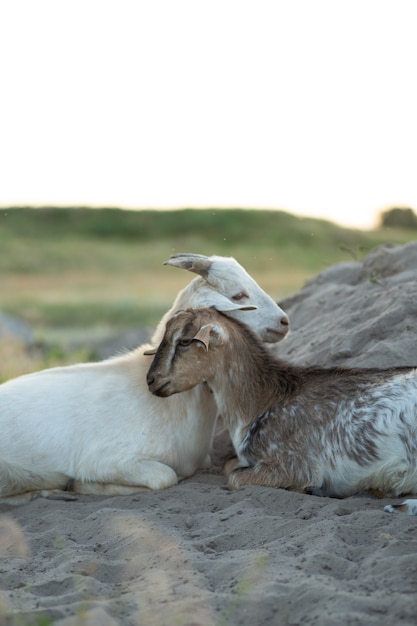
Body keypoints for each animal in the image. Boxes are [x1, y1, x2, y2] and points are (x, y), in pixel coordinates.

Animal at [145, 306, 416, 512]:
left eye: (185, 341)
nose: (151, 379)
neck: (265, 400)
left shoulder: (294, 466)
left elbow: (234, 477)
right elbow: (229, 466)